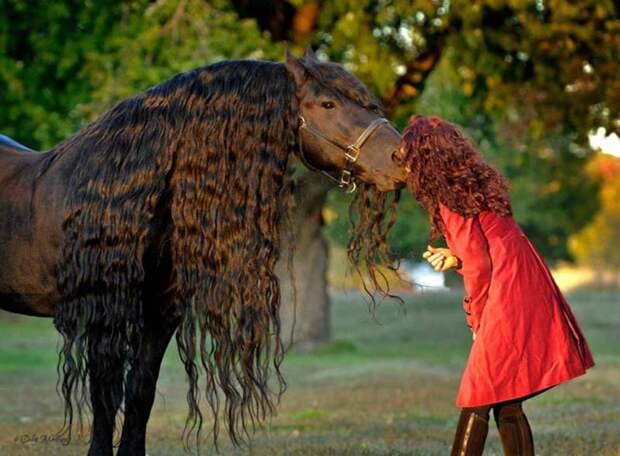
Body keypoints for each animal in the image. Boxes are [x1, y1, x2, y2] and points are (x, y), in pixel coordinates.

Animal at [0, 48, 406, 454]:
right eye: (327, 103)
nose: (400, 156)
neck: (128, 190)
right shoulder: (105, 312)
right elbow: (105, 399)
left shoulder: (161, 312)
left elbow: (139, 393)